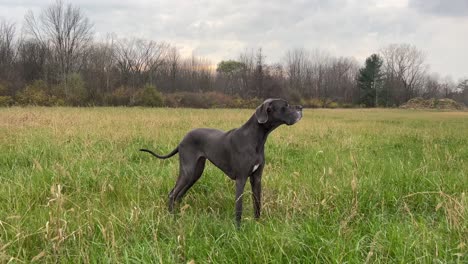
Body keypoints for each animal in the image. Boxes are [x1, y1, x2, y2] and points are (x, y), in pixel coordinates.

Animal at [141, 98, 304, 226]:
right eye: (286, 105)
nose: (301, 107)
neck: (255, 138)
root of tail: (182, 140)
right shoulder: (241, 179)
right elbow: (239, 207)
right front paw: (238, 230)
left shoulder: (256, 178)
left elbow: (257, 203)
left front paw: (258, 224)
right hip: (188, 171)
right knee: (172, 194)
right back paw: (171, 218)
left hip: (195, 173)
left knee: (179, 195)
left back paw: (178, 216)